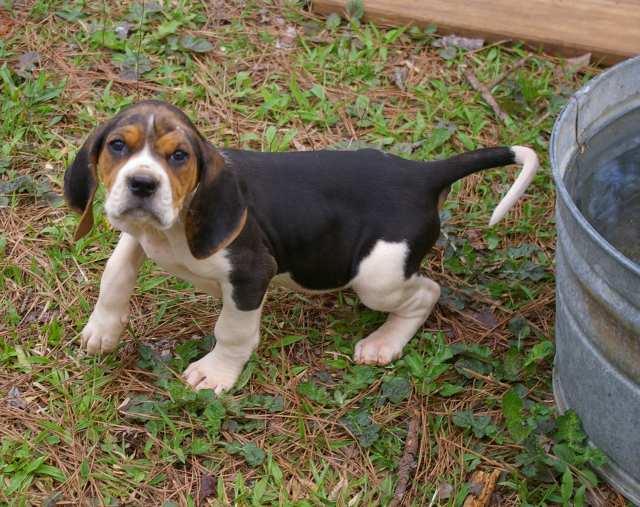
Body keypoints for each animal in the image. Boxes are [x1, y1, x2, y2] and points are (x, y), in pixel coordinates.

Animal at [65, 99, 536, 392]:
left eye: (179, 156)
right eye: (117, 146)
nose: (142, 184)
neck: (174, 226)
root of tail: (420, 174)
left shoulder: (251, 274)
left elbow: (232, 330)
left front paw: (216, 373)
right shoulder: (139, 234)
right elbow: (115, 273)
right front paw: (103, 330)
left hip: (377, 276)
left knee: (427, 292)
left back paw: (384, 342)